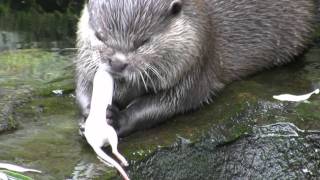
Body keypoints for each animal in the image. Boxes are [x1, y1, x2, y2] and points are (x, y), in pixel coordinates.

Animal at [75, 0, 318, 136]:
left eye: (143, 41)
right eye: (100, 36)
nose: (117, 63)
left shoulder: (195, 65)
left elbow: (174, 102)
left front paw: (118, 119)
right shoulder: (84, 62)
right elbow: (83, 88)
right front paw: (90, 114)